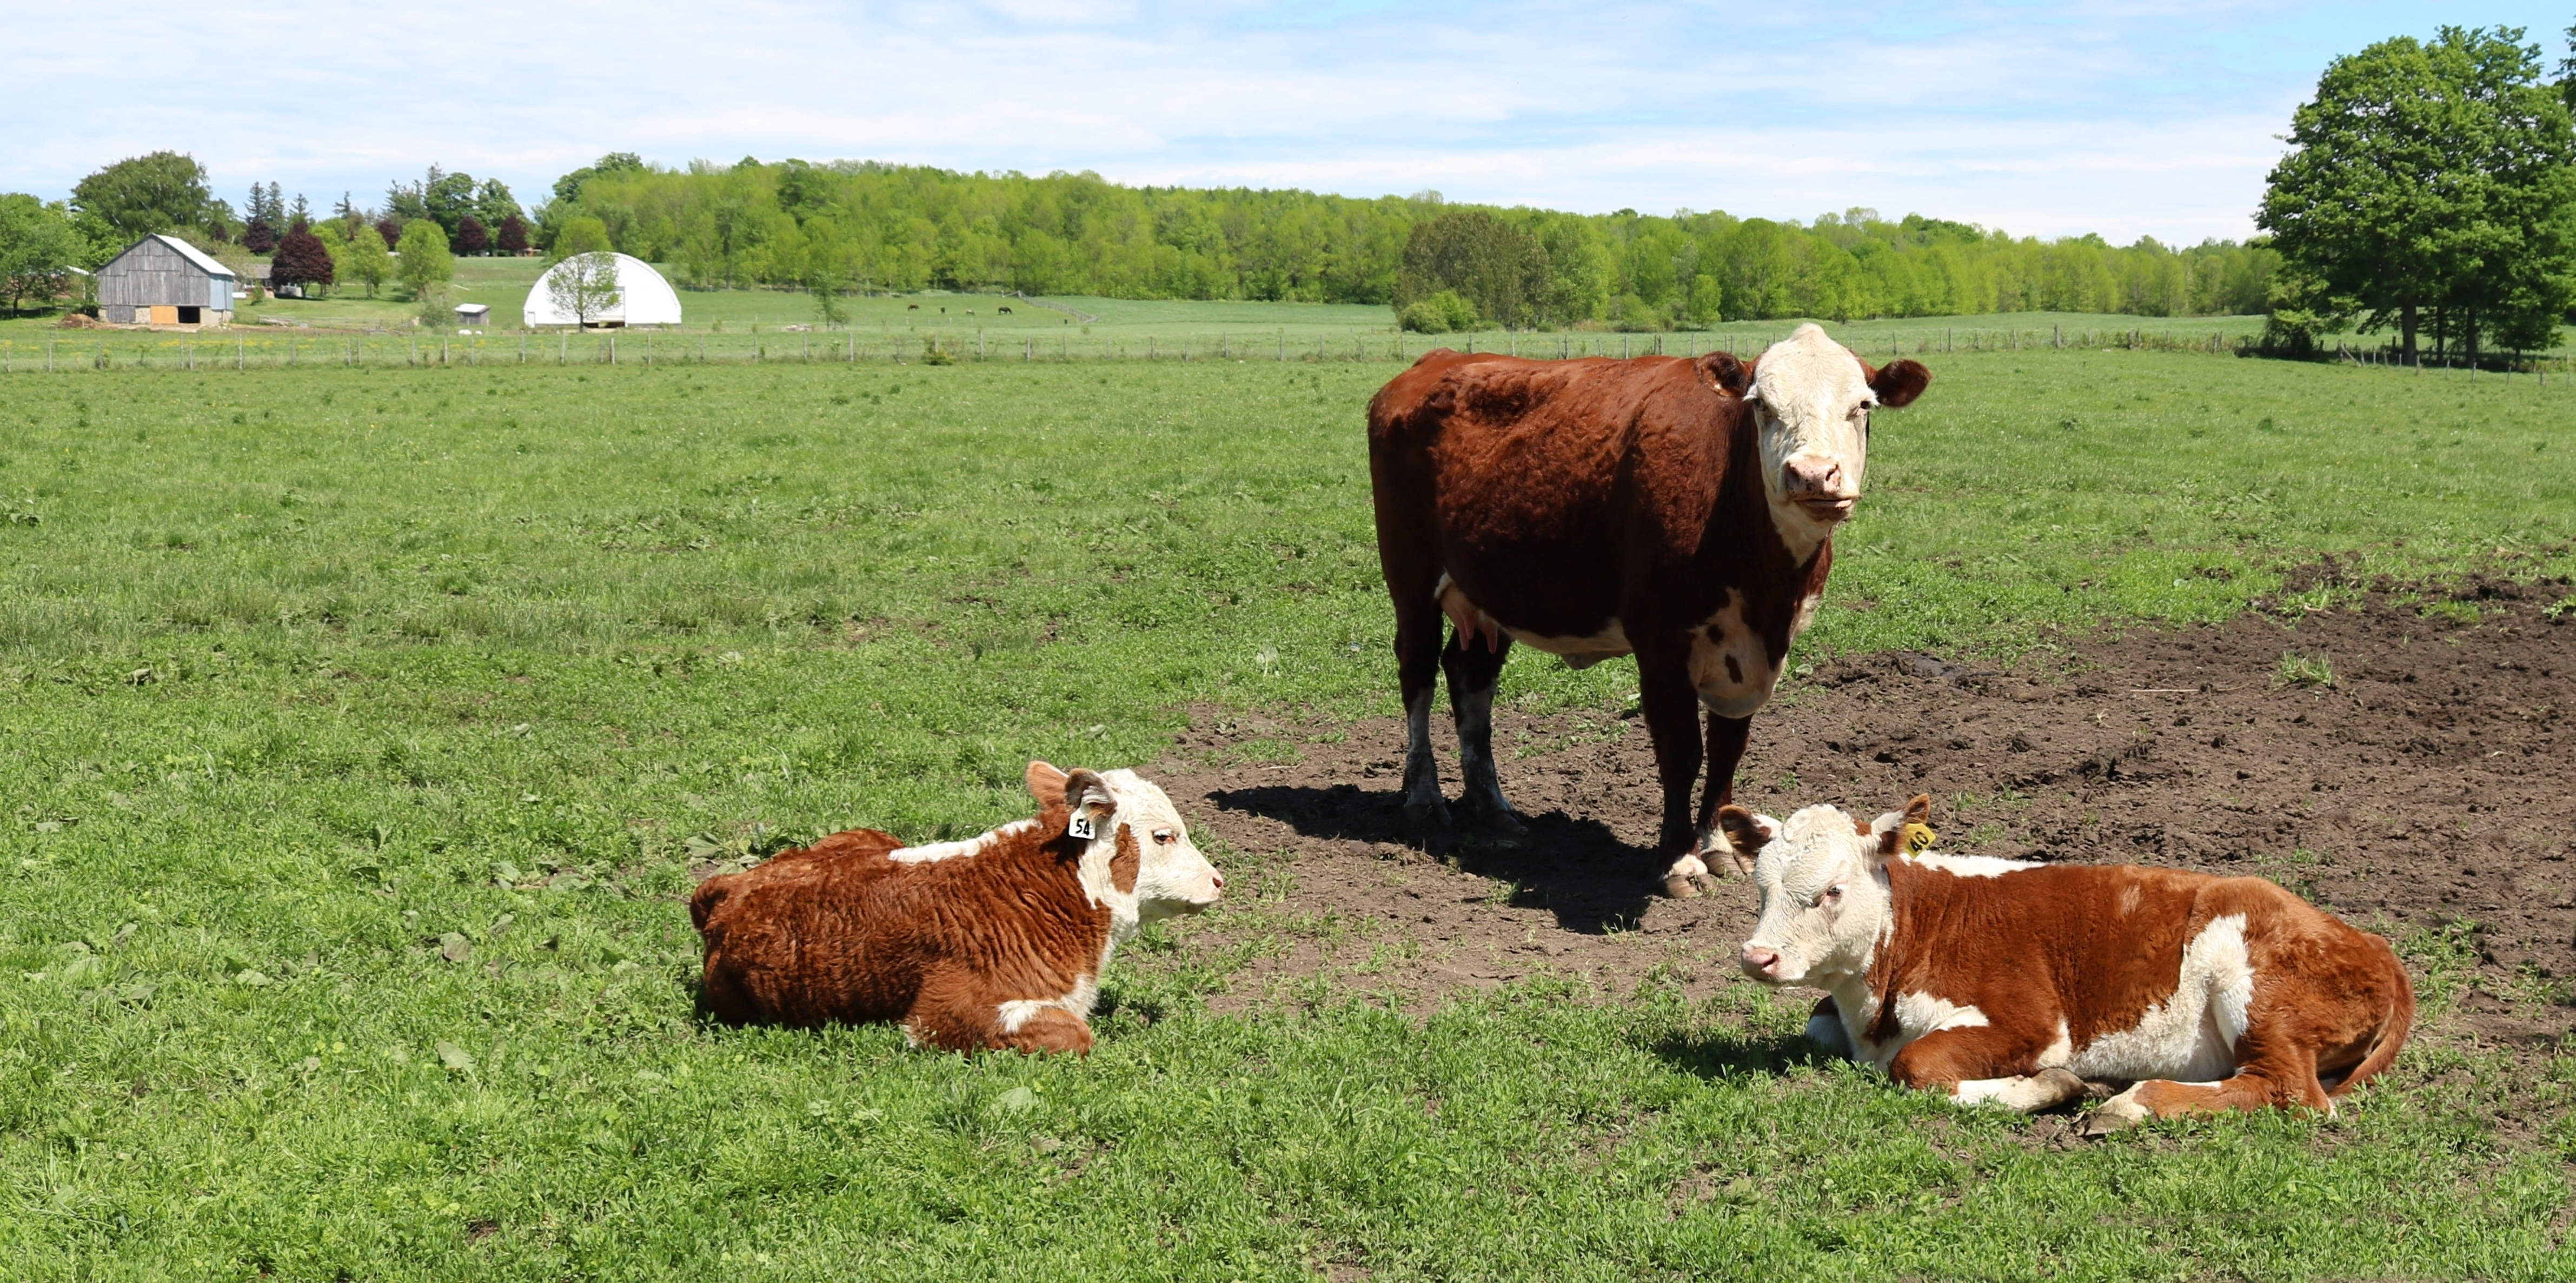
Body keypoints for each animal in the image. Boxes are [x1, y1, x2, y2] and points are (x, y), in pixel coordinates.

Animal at [1380, 325, 1927, 896]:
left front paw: (1718, 843)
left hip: (1490, 592)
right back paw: (1424, 797)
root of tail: (1436, 360)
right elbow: (1681, 749)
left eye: (1862, 405)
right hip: (1410, 577)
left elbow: (1728, 748)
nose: (1814, 474)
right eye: (1761, 405)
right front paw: (1679, 860)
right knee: (1417, 673)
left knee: (1470, 676)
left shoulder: (1752, 653)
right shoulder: (1661, 638)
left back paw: (1492, 806)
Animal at [1731, 799, 2411, 1128]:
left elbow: (1917, 1066)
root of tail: (2373, 943)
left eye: (1832, 891)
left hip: (2253, 985)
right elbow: (1820, 1025)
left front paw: (2054, 1085)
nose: (1757, 957)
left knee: (2291, 1091)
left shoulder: (2032, 1021)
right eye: (1761, 888)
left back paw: (2130, 1104)